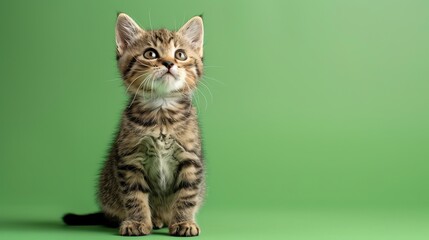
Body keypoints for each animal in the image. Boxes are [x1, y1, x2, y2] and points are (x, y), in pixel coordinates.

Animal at [61, 13, 206, 236]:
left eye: (180, 55)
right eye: (150, 53)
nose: (168, 63)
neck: (161, 112)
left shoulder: (190, 157)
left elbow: (187, 194)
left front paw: (183, 222)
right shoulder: (130, 159)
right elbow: (134, 195)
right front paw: (138, 222)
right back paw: (154, 219)